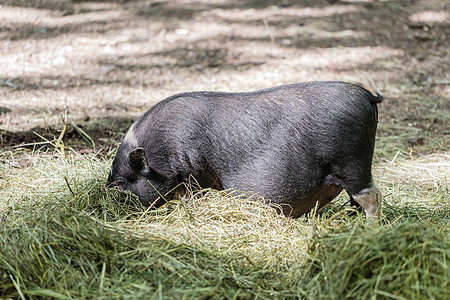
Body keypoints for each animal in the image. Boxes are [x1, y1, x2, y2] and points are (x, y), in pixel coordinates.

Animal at [108, 81, 384, 218]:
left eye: (122, 182)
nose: (108, 191)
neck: (161, 152)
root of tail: (366, 95)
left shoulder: (195, 172)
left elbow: (194, 195)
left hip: (352, 161)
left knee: (371, 197)